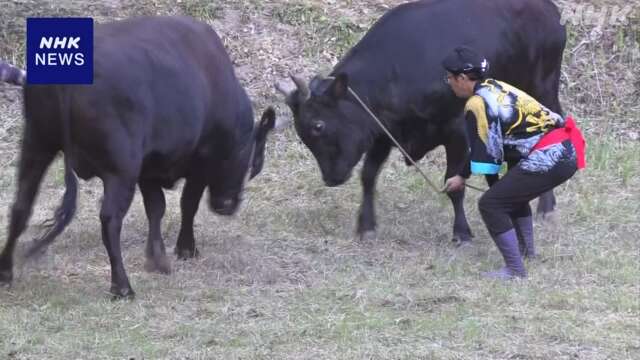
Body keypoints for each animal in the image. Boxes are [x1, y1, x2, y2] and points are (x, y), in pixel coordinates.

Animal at [0, 16, 280, 298]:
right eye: (249, 161)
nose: (226, 205)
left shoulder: (149, 167)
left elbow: (156, 207)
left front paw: (157, 258)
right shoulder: (199, 161)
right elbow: (187, 203)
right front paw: (186, 248)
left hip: (36, 145)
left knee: (21, 207)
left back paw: (6, 273)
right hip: (120, 169)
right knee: (110, 220)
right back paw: (122, 286)